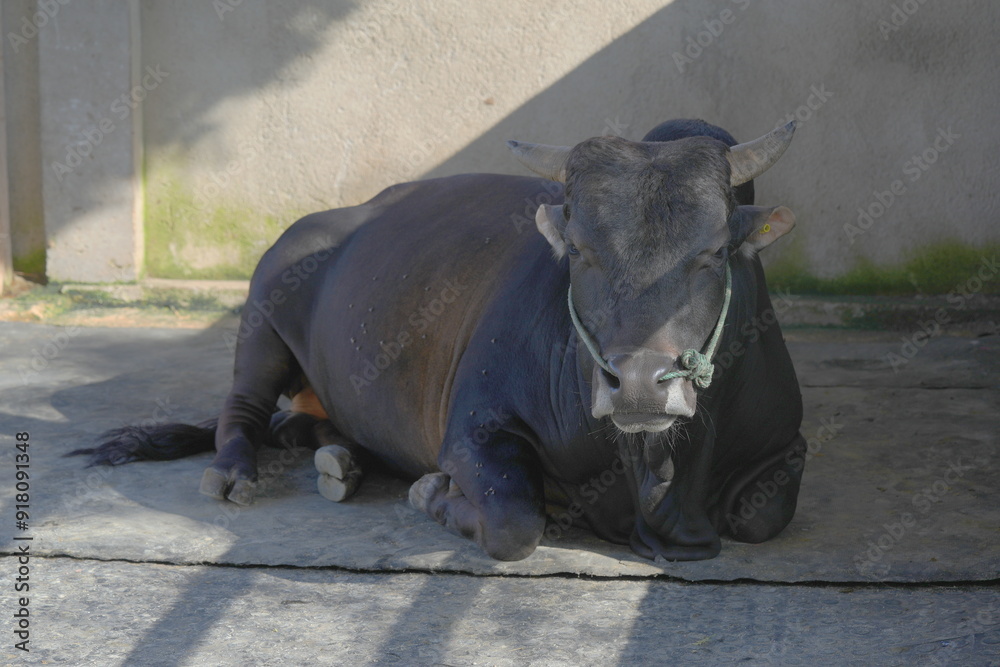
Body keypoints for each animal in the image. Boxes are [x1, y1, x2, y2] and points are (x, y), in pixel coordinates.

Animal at [73, 118, 806, 562]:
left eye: (714, 251)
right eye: (578, 248)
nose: (637, 385)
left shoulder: (785, 446)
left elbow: (764, 516)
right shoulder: (475, 428)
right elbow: (514, 521)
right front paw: (431, 493)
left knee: (304, 423)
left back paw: (340, 461)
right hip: (262, 314)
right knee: (244, 408)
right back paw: (234, 471)